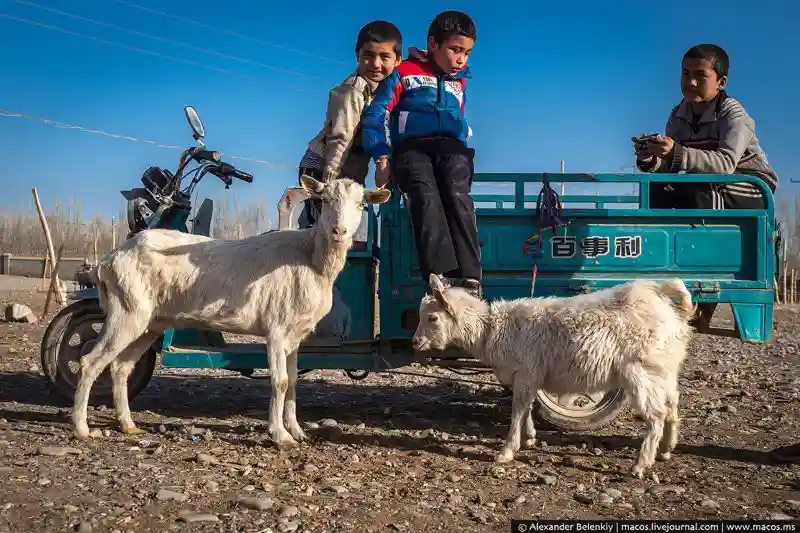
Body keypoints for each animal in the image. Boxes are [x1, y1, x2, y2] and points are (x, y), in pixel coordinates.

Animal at [73, 177, 392, 446]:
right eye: (324, 200)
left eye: (362, 204)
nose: (339, 231)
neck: (309, 258)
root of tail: (108, 260)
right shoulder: (276, 330)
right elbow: (280, 381)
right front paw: (280, 436)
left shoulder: (295, 336)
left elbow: (293, 381)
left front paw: (297, 431)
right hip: (126, 311)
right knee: (91, 361)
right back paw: (82, 427)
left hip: (150, 322)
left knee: (120, 367)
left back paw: (128, 425)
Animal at [412, 274, 692, 478]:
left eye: (433, 317)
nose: (415, 342)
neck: (491, 330)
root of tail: (664, 302)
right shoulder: (528, 376)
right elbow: (526, 407)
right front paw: (529, 438)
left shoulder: (526, 371)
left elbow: (517, 410)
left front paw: (507, 450)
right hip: (663, 370)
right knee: (672, 406)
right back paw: (666, 450)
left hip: (640, 371)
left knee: (656, 415)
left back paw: (641, 464)